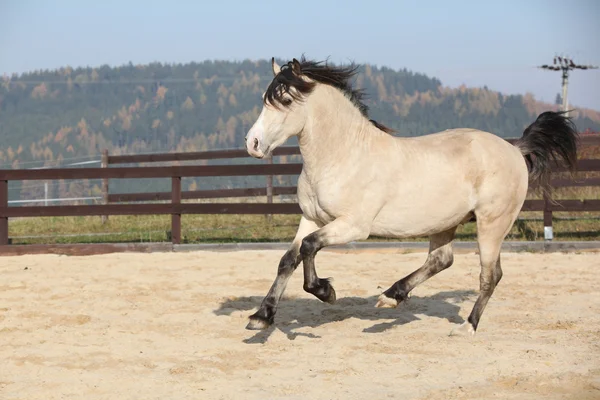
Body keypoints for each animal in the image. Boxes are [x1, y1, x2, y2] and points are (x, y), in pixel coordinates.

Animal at [241, 56, 580, 336]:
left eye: (285, 99)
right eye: (264, 99)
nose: (253, 144)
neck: (344, 154)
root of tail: (514, 148)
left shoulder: (353, 226)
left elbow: (310, 248)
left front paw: (326, 292)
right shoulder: (311, 218)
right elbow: (288, 259)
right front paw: (261, 316)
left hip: (492, 224)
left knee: (490, 275)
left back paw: (466, 326)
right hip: (446, 222)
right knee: (441, 260)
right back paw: (392, 297)